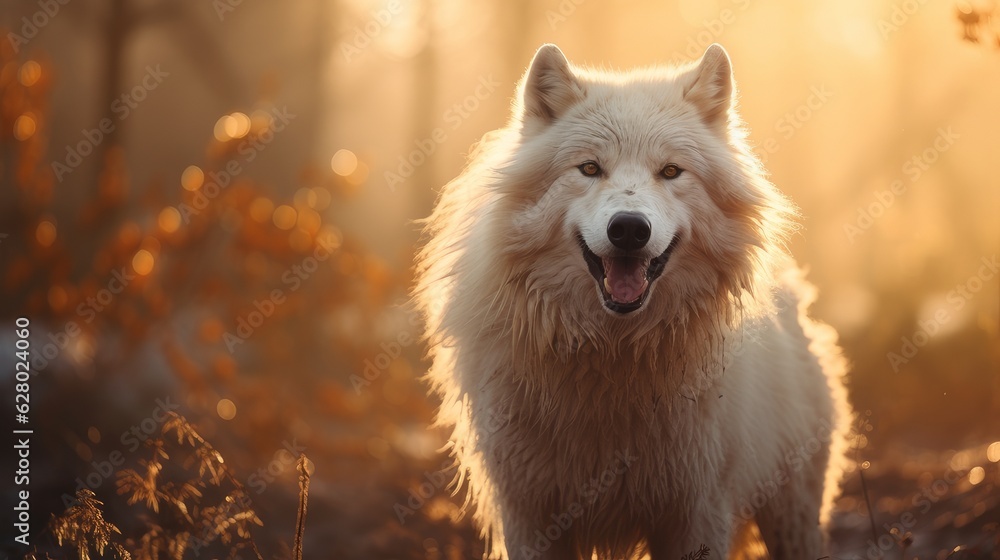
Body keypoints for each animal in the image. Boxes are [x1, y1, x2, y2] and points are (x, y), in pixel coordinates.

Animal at [414, 43, 851, 559]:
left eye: (670, 171)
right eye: (589, 168)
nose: (628, 228)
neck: (611, 357)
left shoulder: (695, 513)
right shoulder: (531, 515)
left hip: (791, 515)